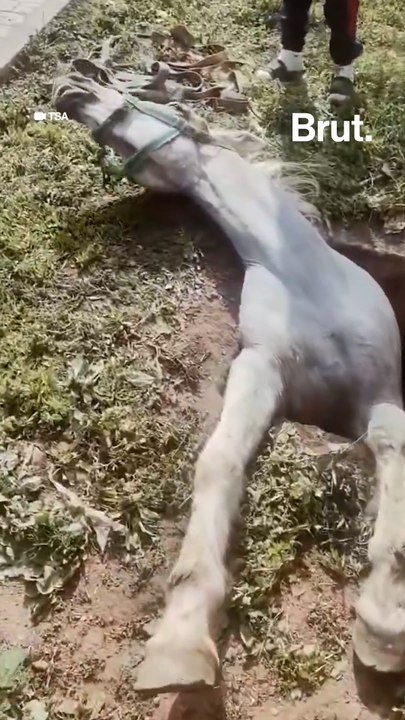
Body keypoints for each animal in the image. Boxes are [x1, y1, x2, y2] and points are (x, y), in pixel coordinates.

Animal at [52, 63, 405, 692]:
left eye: (153, 101)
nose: (71, 86)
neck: (304, 280)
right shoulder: (259, 367)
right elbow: (218, 462)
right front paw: (181, 639)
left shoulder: (383, 392)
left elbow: (392, 456)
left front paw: (385, 622)